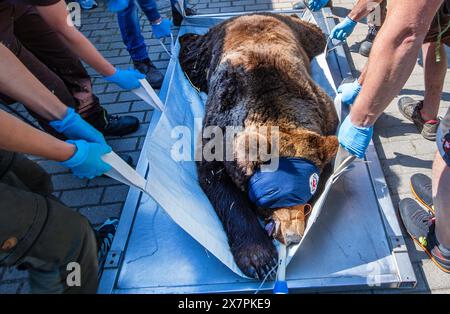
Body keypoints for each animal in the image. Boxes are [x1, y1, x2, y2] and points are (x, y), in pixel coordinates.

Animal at [179, 12, 338, 280]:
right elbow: (218, 182)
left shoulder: (324, 113)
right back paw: (184, 41)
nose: (293, 236)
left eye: (308, 193)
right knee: (193, 56)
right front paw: (259, 259)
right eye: (272, 196)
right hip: (209, 49)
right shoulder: (220, 125)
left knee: (317, 34)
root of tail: (249, 14)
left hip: (304, 36)